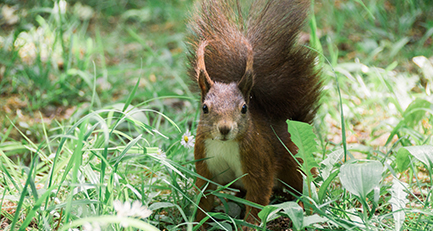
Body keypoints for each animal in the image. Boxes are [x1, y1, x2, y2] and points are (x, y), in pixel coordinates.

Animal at [186, 0, 320, 228]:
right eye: (204, 108)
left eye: (243, 108)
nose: (224, 129)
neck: (224, 145)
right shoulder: (204, 162)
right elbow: (203, 197)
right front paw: (196, 224)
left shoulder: (258, 160)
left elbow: (258, 197)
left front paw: (248, 226)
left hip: (295, 161)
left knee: (303, 184)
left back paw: (305, 206)